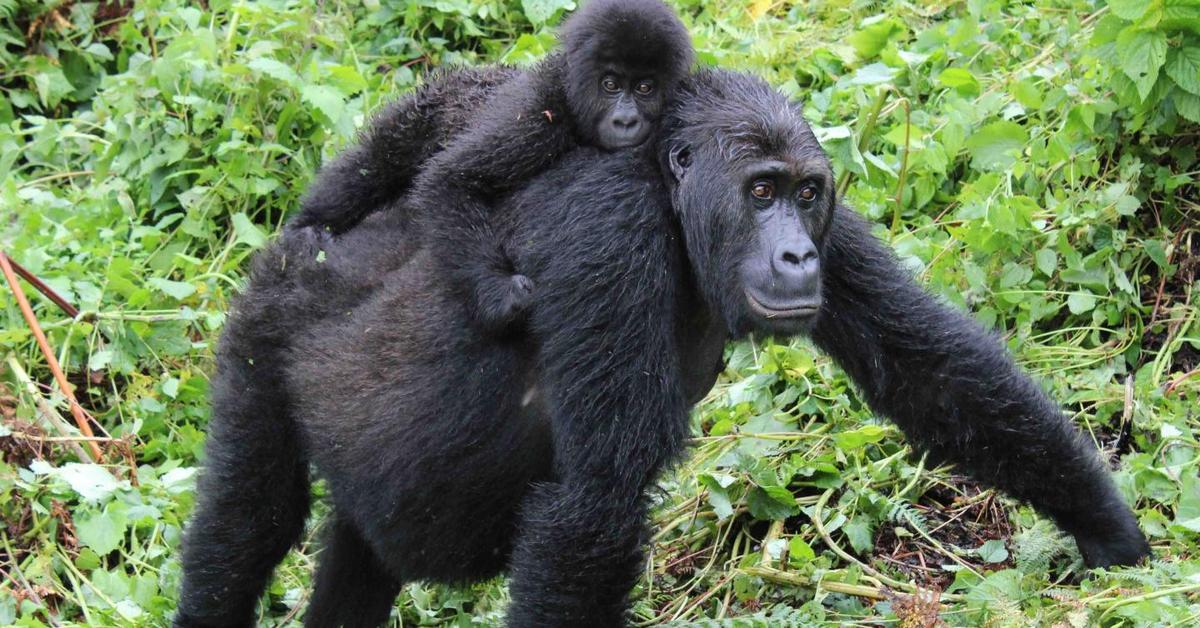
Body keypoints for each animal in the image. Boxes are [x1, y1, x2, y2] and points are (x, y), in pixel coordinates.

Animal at [175, 69, 1142, 628]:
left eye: (805, 194)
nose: (796, 255)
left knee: (356, 548)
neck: (674, 198)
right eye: (760, 192)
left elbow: (933, 373)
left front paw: (1115, 537)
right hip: (268, 317)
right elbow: (593, 509)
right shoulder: (616, 237)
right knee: (247, 523)